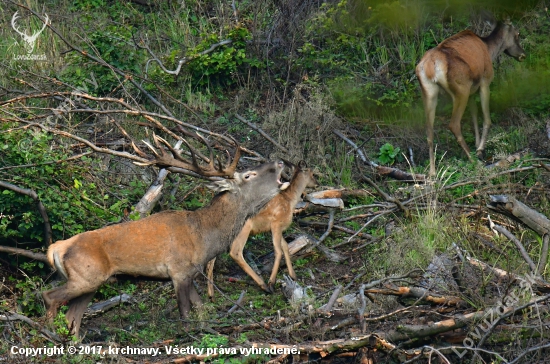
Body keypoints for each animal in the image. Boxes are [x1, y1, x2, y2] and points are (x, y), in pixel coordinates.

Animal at [42, 136, 288, 338]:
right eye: (248, 175)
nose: (280, 162)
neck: (205, 237)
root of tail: (57, 248)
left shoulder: (191, 272)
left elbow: (201, 310)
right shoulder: (178, 271)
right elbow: (186, 316)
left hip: (91, 282)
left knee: (72, 318)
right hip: (84, 276)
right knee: (50, 297)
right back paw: (48, 334)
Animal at [208, 160, 320, 296]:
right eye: (312, 173)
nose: (317, 184)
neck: (290, 200)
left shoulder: (278, 228)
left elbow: (285, 246)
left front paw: (293, 276)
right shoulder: (276, 223)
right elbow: (278, 250)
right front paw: (271, 282)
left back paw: (211, 293)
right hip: (243, 229)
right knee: (235, 252)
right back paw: (263, 285)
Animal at [416, 16, 528, 176]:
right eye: (517, 34)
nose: (523, 55)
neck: (489, 49)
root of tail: (430, 67)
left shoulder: (471, 91)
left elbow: (474, 114)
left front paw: (477, 144)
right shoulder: (485, 81)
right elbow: (486, 119)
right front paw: (480, 149)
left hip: (429, 93)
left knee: (429, 130)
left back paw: (432, 172)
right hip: (460, 89)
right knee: (454, 124)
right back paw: (473, 160)